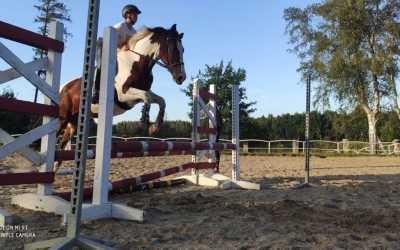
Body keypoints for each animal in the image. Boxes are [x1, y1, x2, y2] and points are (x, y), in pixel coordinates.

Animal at [56, 24, 186, 154]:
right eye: (172, 48)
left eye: (183, 49)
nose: (181, 77)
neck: (137, 63)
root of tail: (63, 88)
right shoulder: (123, 94)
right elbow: (147, 97)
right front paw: (143, 122)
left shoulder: (138, 95)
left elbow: (161, 100)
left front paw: (154, 127)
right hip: (62, 119)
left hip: (73, 123)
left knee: (61, 146)